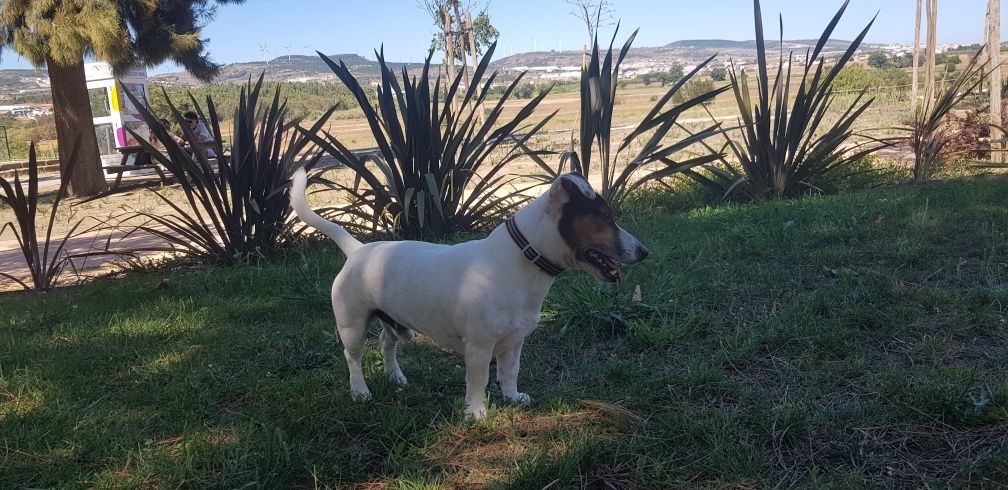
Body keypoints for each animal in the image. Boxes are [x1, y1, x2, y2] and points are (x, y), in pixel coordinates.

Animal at [292, 170, 649, 419]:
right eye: (606, 217)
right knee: (352, 357)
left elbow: (509, 373)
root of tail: (356, 250)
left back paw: (395, 376)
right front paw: (475, 412)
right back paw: (360, 391)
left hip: (396, 323)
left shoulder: (514, 343)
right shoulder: (479, 347)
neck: (518, 262)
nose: (644, 252)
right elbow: (478, 379)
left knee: (387, 344)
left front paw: (512, 397)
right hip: (352, 325)